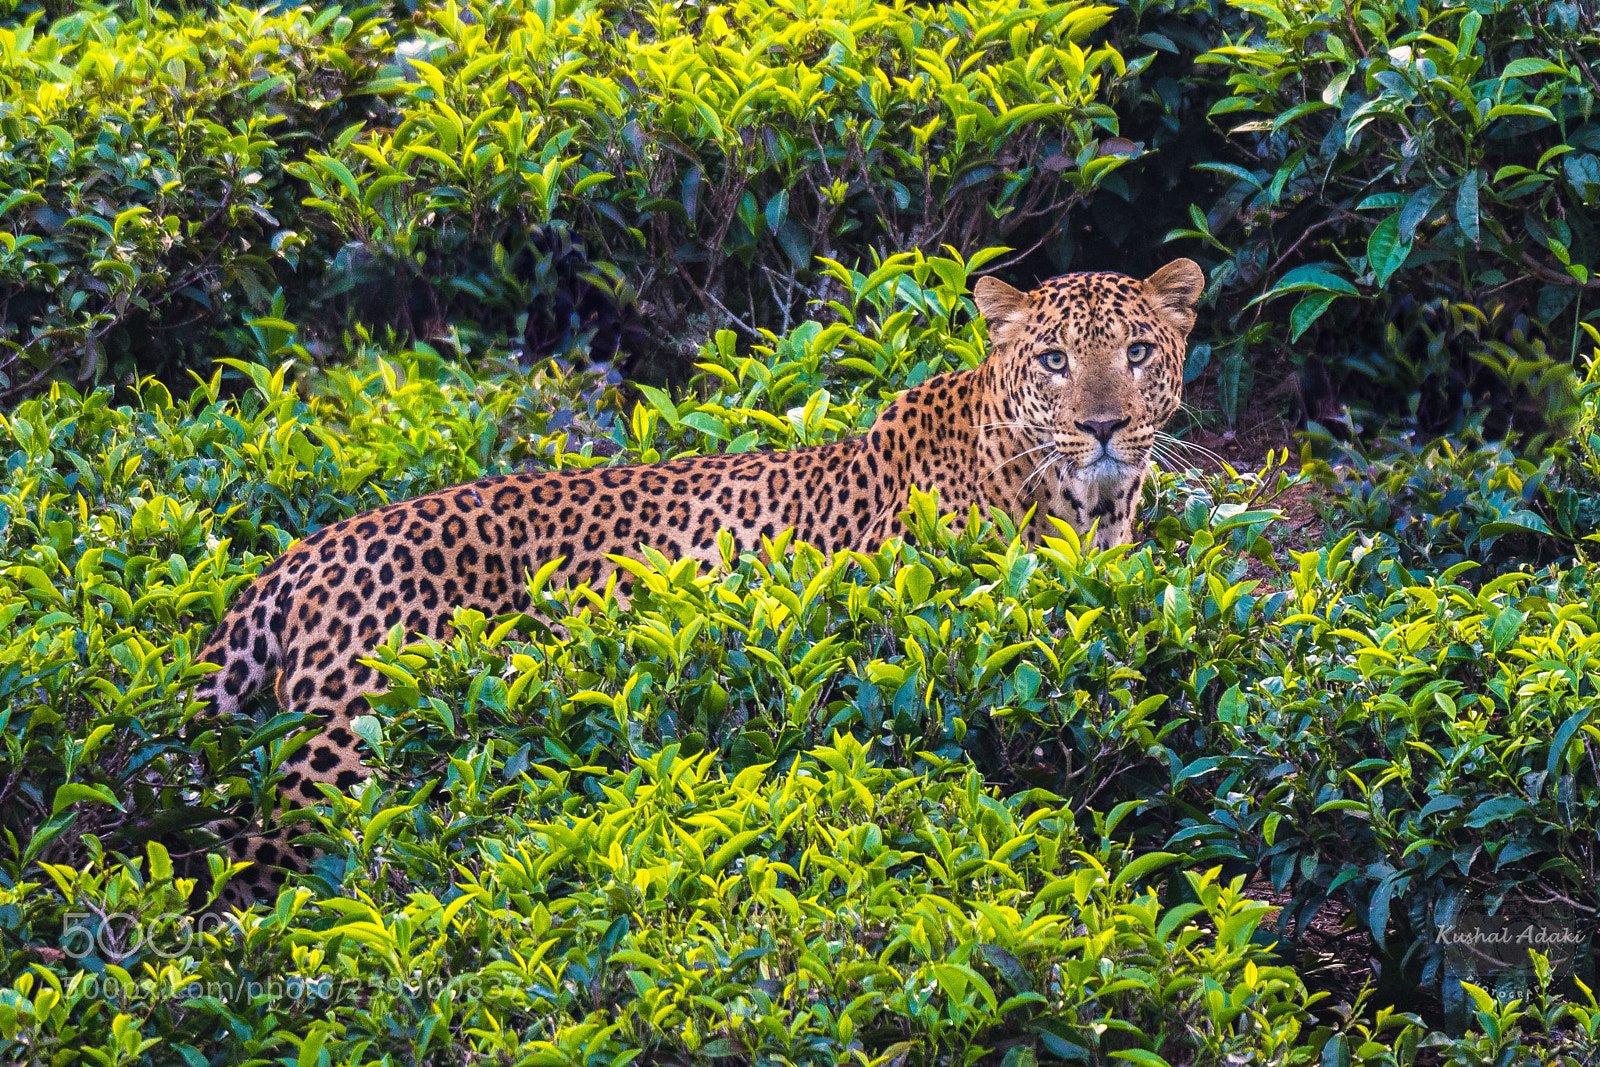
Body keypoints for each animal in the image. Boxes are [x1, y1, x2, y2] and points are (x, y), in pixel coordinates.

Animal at [189, 258, 1204, 902]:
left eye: (1139, 353)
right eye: (1055, 359)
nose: (1105, 425)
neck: (1080, 505)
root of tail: (302, 551)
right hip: (342, 754)